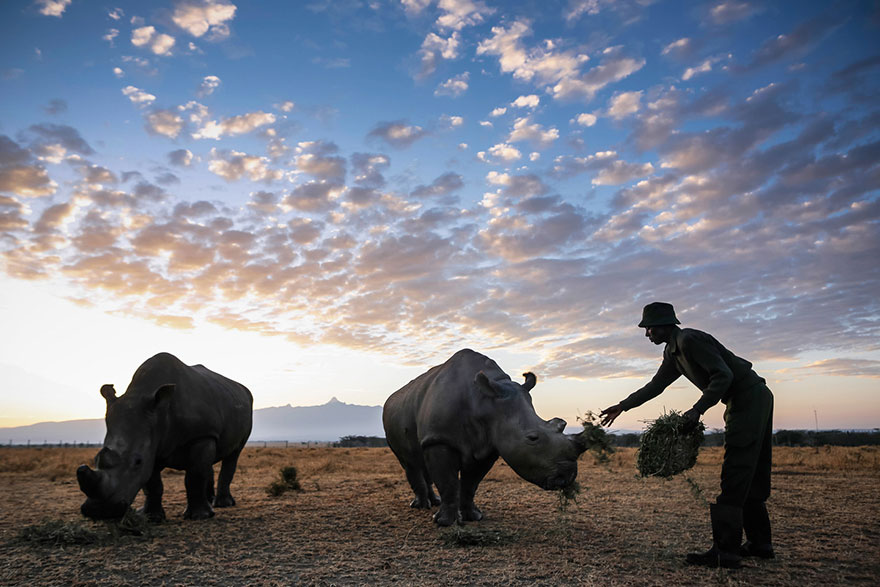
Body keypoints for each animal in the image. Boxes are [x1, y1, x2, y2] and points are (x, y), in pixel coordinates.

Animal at [76, 352, 253, 521]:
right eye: (96, 458)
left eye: (137, 462)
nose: (100, 511)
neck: (159, 416)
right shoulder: (152, 443)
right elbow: (152, 484)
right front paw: (150, 517)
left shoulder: (202, 435)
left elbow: (195, 475)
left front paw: (199, 516)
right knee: (208, 462)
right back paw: (210, 501)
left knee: (233, 455)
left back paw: (222, 505)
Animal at [383, 349, 588, 526]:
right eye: (532, 438)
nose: (568, 477)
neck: (485, 403)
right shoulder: (439, 439)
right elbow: (448, 482)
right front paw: (444, 522)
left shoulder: (488, 446)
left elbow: (471, 484)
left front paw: (474, 517)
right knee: (409, 462)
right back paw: (420, 506)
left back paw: (434, 503)